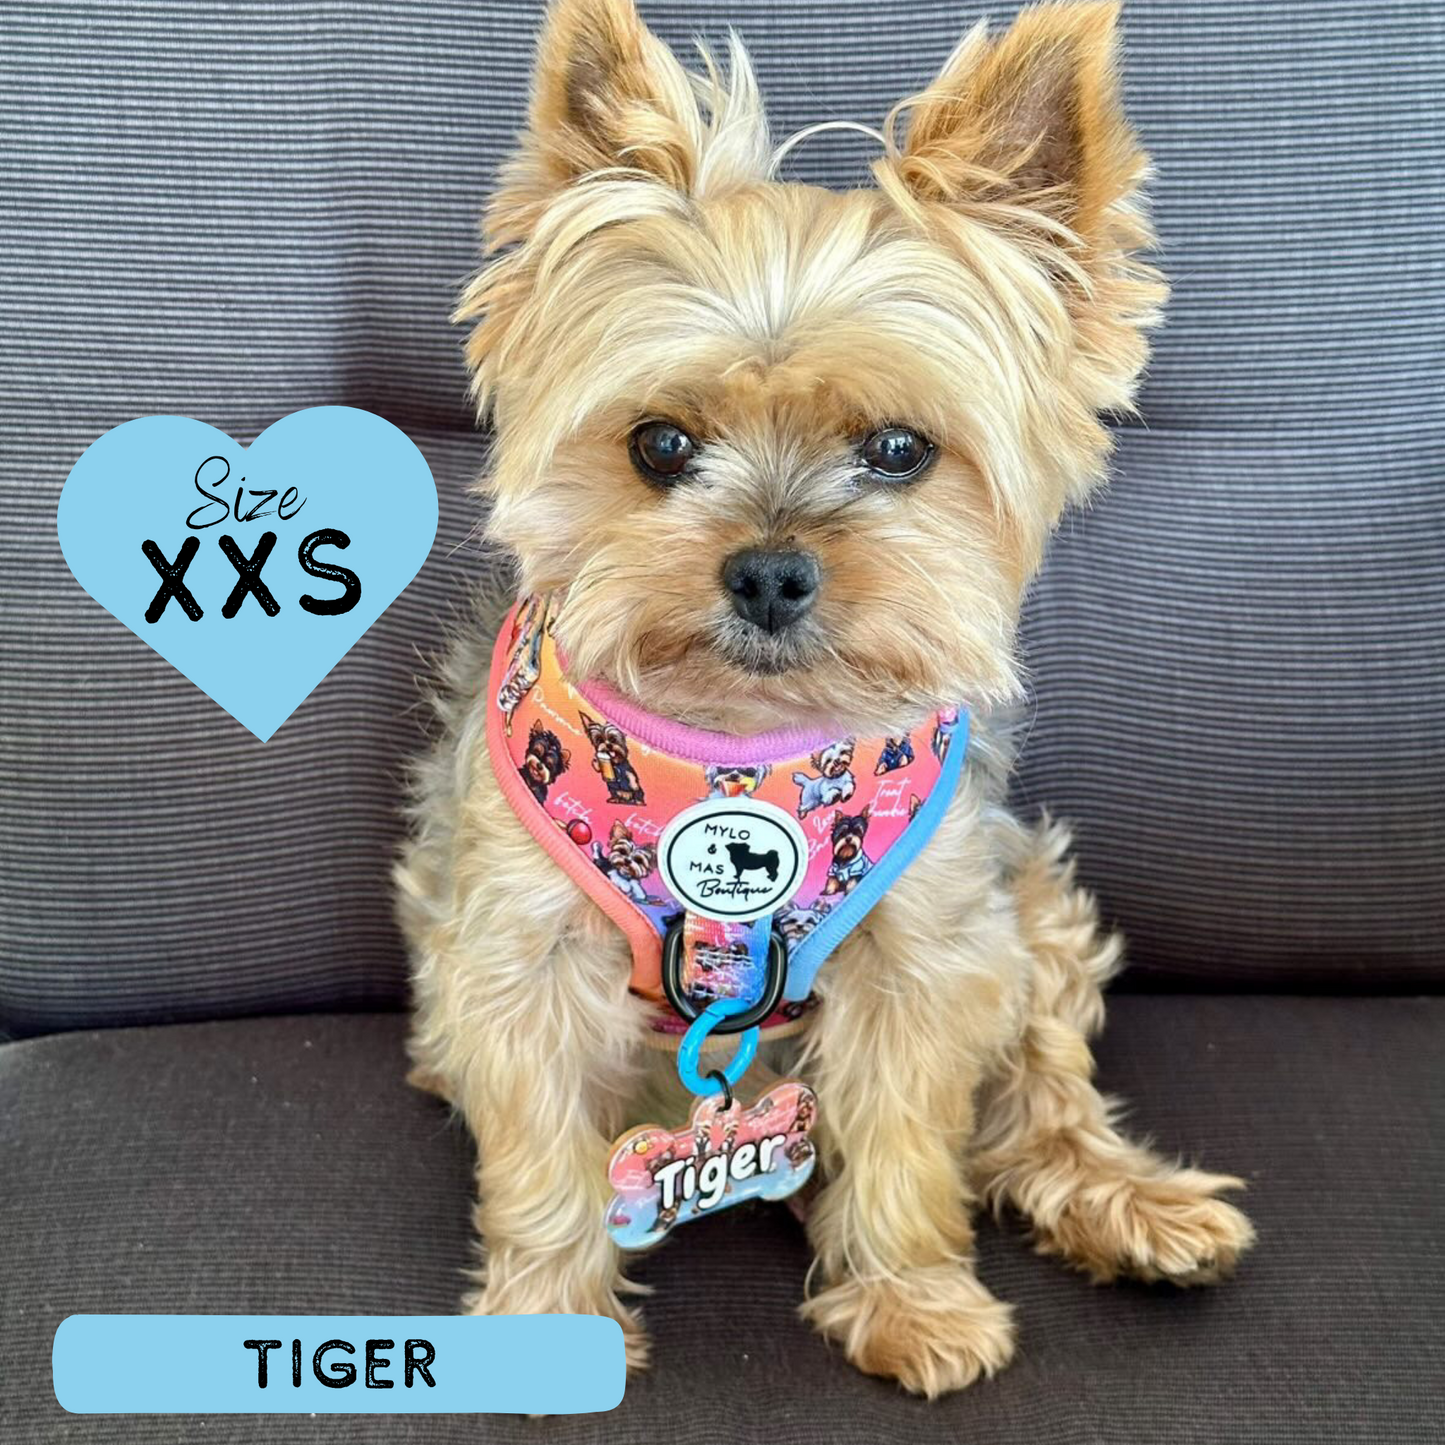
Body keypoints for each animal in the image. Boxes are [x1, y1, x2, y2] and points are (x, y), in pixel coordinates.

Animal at [397, 0, 1252, 1398]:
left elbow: (908, 1136)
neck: (743, 752)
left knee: (1040, 1102)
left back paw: (1123, 1201)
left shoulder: (927, 945)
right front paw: (545, 1324)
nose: (768, 569)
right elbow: (537, 1154)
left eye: (899, 448)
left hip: (1029, 898)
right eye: (660, 444)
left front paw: (911, 1297)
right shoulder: (515, 953)